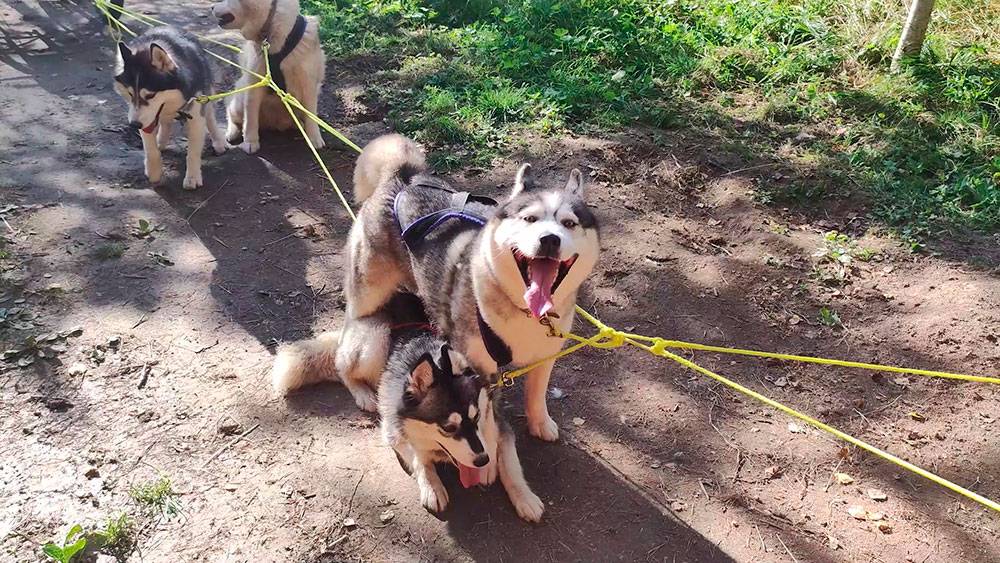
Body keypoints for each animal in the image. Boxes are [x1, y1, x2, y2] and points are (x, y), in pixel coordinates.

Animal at [113, 27, 227, 189]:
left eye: (150, 95)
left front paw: (192, 177)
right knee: (165, 123)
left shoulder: (196, 114)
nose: (134, 125)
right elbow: (150, 149)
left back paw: (219, 141)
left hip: (207, 94)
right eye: (130, 93)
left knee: (210, 117)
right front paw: (154, 171)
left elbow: (192, 152)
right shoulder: (142, 116)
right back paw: (161, 140)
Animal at [213, 0, 326, 153]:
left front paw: (314, 139)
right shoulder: (254, 84)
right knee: (232, 115)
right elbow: (250, 120)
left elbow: (311, 116)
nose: (211, 7)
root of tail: (274, 124)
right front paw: (250, 142)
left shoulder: (309, 84)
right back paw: (232, 132)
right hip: (239, 100)